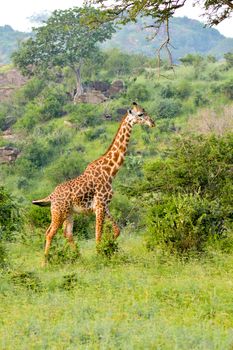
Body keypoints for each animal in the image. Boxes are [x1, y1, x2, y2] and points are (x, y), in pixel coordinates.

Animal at [32, 101, 155, 260]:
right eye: (140, 114)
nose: (152, 123)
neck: (110, 172)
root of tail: (51, 196)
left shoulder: (104, 206)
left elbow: (116, 230)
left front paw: (107, 248)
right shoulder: (100, 206)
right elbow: (98, 234)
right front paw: (99, 256)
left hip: (69, 213)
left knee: (67, 233)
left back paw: (78, 257)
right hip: (58, 212)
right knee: (49, 233)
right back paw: (45, 262)